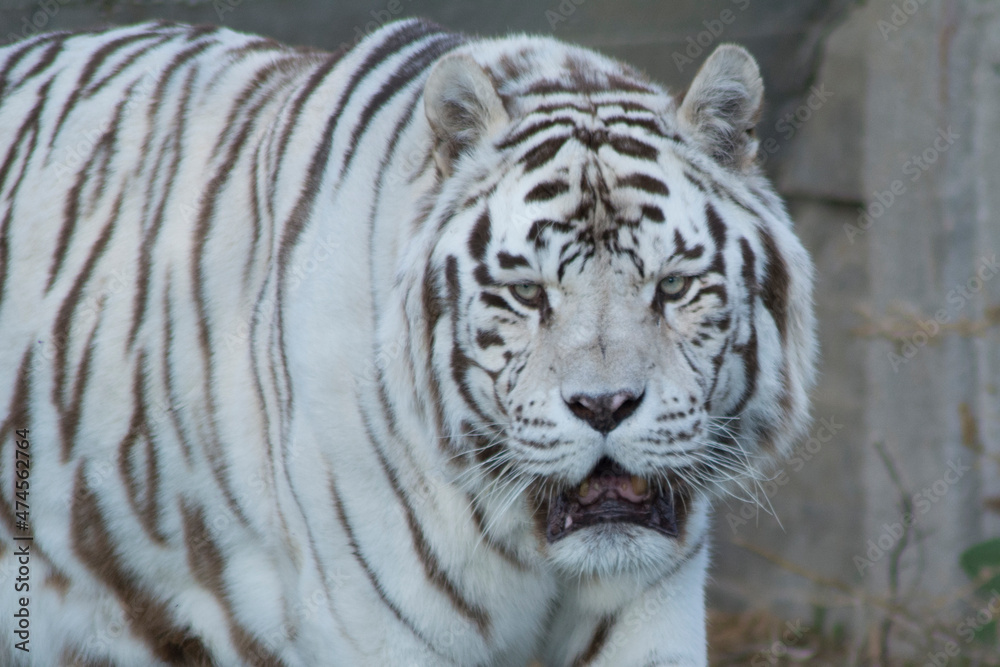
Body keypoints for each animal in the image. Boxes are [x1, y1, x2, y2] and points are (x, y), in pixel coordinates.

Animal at [0, 17, 816, 667]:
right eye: (528, 293)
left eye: (672, 286)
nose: (605, 405)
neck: (534, 550)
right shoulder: (378, 631)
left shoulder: (648, 603)